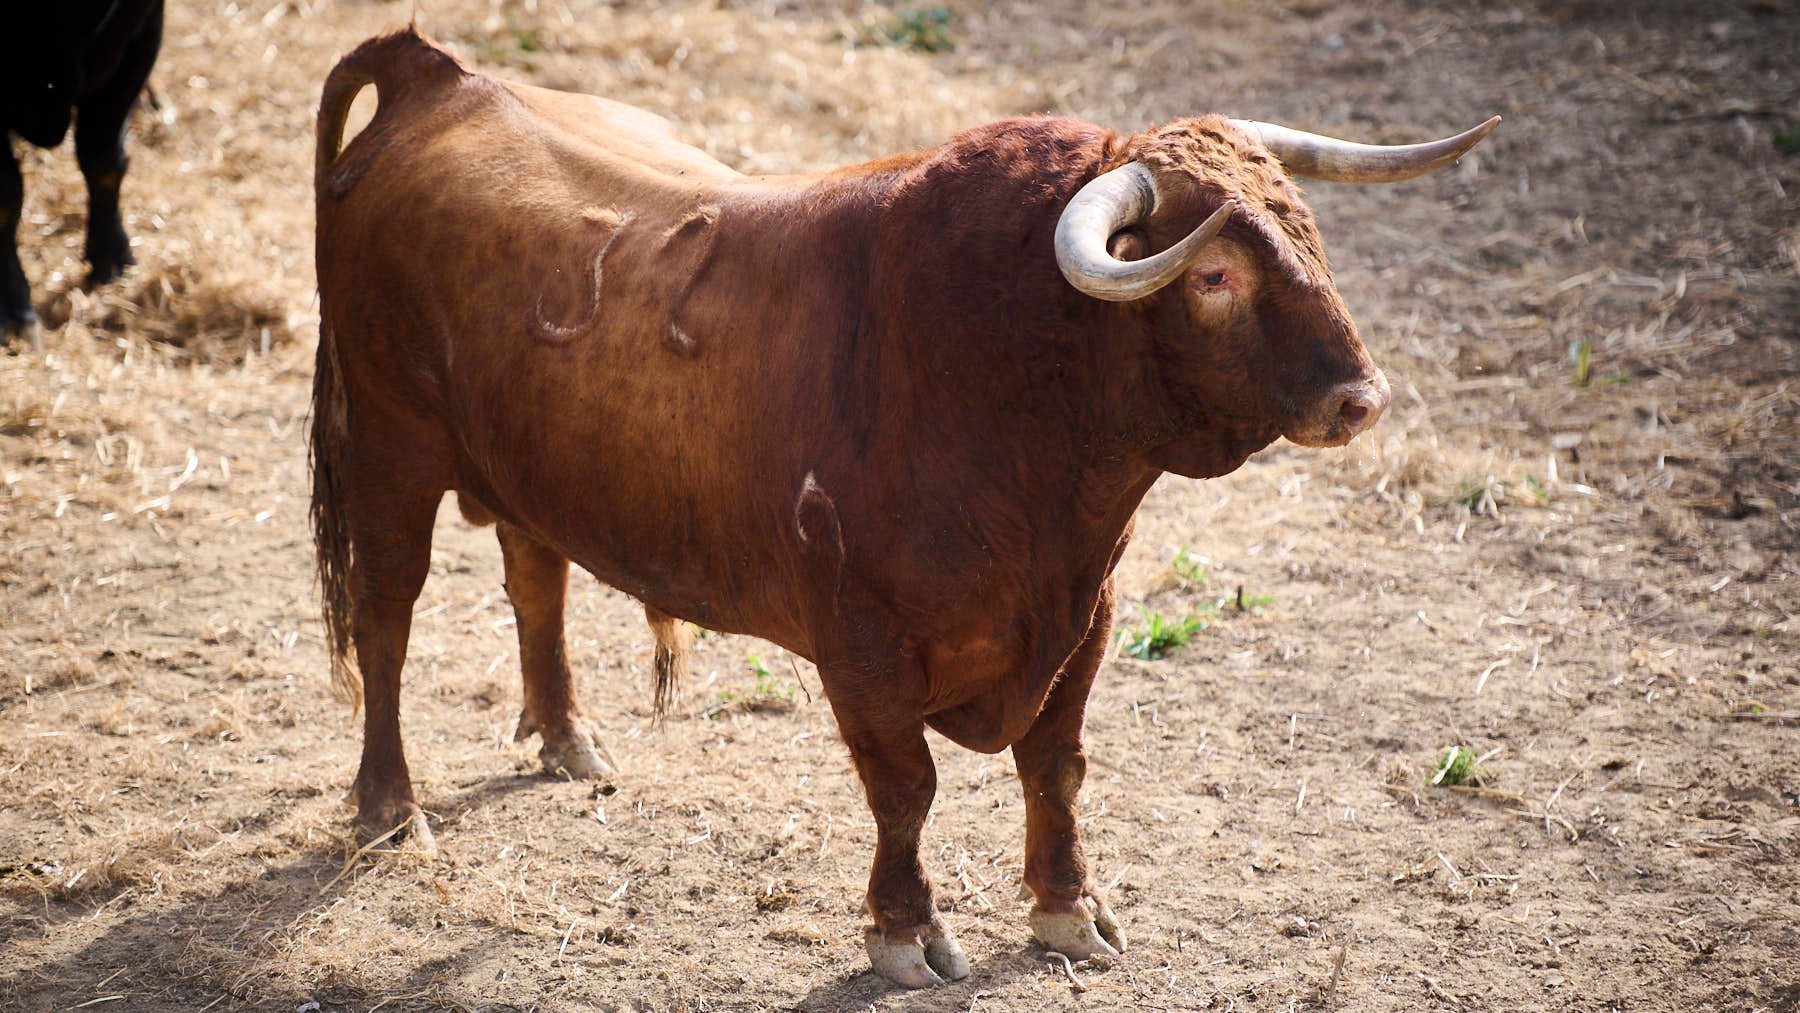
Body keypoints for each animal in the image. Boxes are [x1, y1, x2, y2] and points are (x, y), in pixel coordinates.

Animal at [309, 29, 1490, 993]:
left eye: (1307, 229)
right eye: (1211, 277)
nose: (1362, 396)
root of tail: (439, 77)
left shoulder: (1086, 620)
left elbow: (1055, 766)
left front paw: (1070, 908)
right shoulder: (863, 648)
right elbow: (905, 788)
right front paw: (903, 931)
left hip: (519, 462)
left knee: (535, 569)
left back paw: (567, 737)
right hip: (392, 444)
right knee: (387, 612)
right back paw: (389, 804)